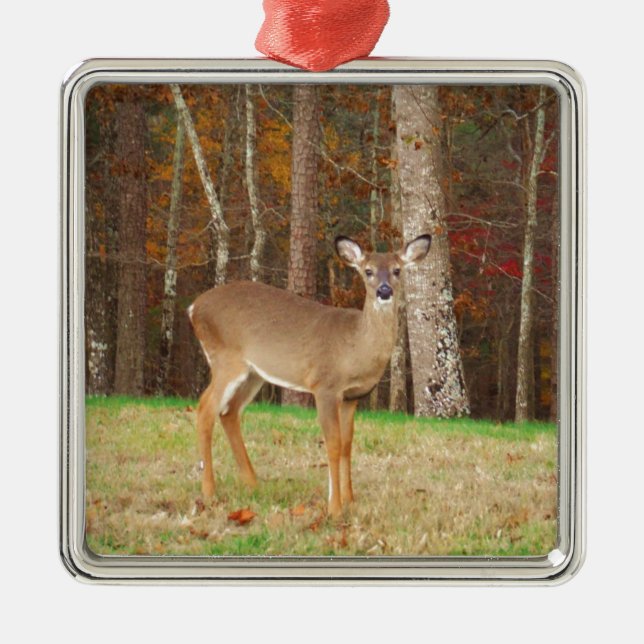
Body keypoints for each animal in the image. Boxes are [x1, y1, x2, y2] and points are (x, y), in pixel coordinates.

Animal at [187, 234, 431, 517]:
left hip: (253, 373)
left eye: (397, 270)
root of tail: (193, 307)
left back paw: (253, 483)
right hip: (226, 359)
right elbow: (333, 443)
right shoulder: (325, 386)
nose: (384, 291)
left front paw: (350, 499)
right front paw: (335, 507)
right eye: (368, 271)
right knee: (205, 408)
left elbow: (347, 444)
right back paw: (209, 491)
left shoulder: (351, 397)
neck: (355, 347)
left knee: (229, 412)